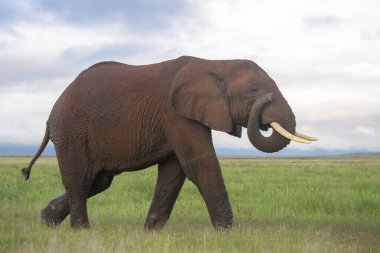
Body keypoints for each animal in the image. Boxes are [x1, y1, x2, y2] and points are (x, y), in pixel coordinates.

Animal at [21, 55, 318, 229]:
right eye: (254, 90)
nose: (265, 101)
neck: (216, 63)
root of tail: (53, 111)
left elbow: (174, 172)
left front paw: (151, 233)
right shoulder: (177, 113)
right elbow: (200, 164)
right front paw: (229, 234)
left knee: (98, 181)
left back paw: (46, 221)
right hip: (71, 132)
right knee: (80, 180)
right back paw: (81, 231)